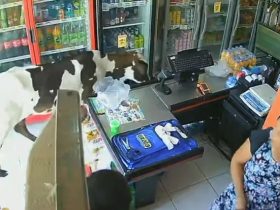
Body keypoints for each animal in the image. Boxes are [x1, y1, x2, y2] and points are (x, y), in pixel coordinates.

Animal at [0, 50, 149, 146]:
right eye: (144, 69)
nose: (150, 78)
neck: (103, 64)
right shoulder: (85, 94)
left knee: (20, 127)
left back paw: (34, 139)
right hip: (5, 123)